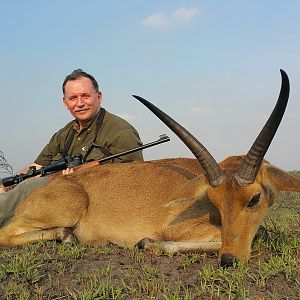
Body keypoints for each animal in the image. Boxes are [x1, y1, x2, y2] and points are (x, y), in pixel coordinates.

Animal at [0, 69, 300, 266]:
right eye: (214, 199)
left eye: (254, 198)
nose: (230, 259)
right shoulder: (176, 229)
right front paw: (147, 243)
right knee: (5, 233)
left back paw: (68, 236)